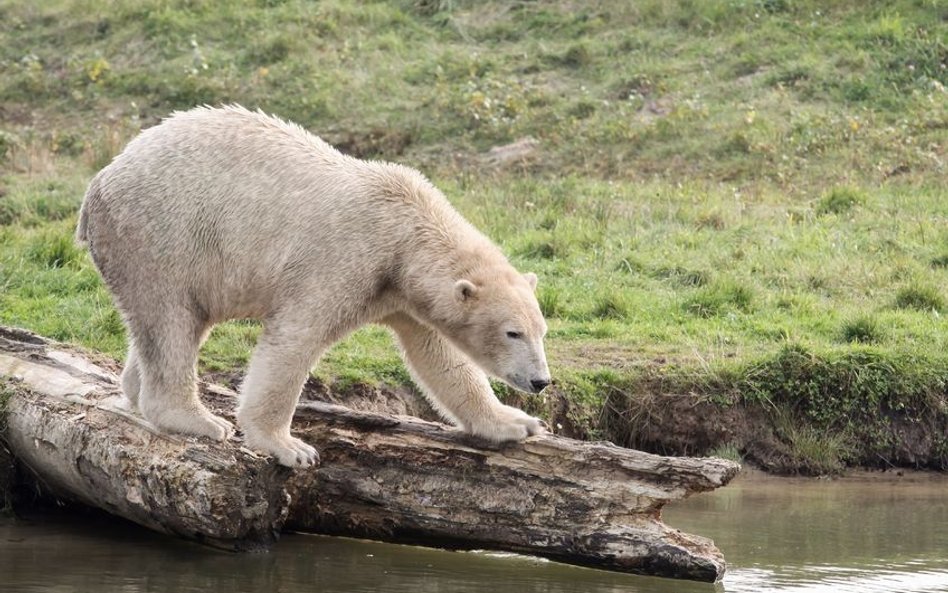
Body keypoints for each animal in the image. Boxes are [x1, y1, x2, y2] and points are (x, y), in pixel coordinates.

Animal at [78, 105, 552, 468]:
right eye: (513, 332)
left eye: (541, 331)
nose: (541, 381)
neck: (405, 227)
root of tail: (100, 181)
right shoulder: (345, 260)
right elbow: (294, 340)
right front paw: (290, 447)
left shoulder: (400, 293)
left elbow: (440, 356)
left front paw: (517, 423)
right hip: (163, 237)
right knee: (172, 320)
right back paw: (198, 420)